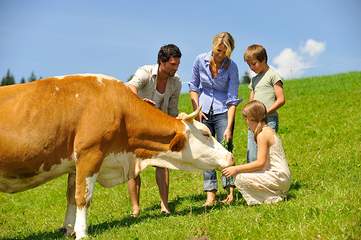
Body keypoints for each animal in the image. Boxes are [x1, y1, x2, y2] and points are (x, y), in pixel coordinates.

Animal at [0, 74, 233, 239]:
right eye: (206, 133)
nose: (230, 156)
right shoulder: (90, 154)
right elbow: (83, 197)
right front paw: (82, 233)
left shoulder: (75, 165)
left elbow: (71, 198)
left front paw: (69, 229)